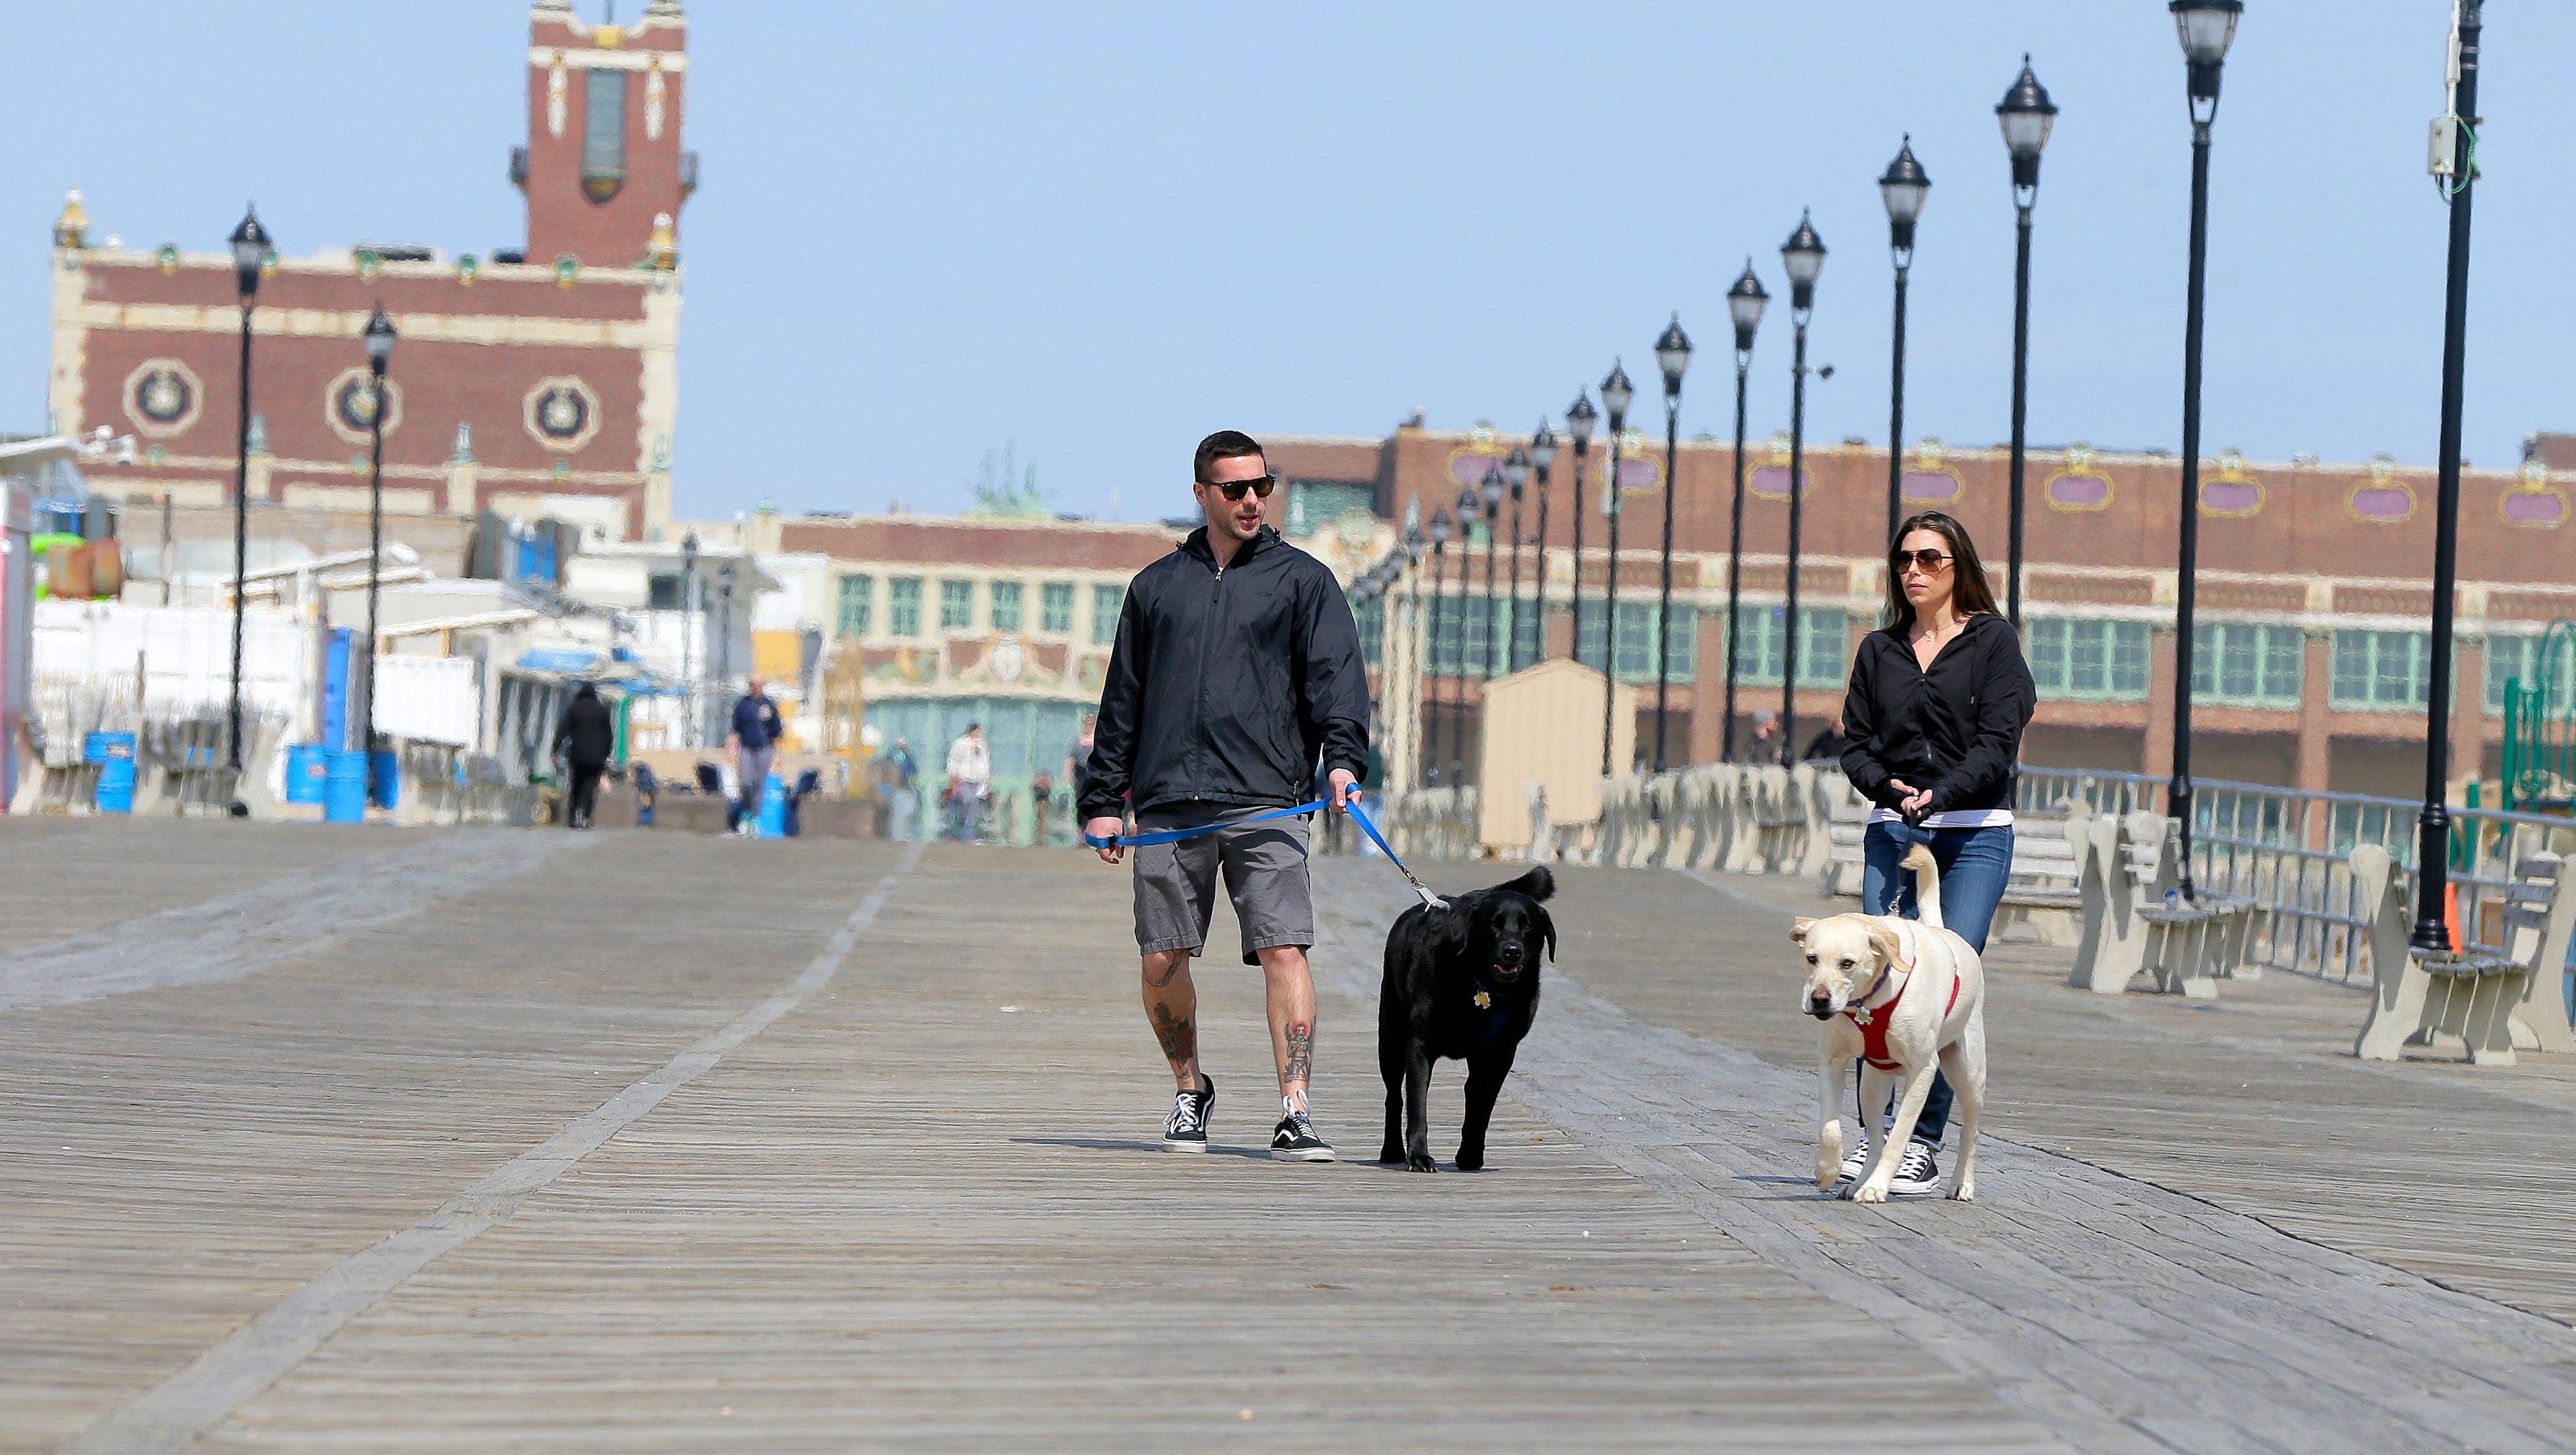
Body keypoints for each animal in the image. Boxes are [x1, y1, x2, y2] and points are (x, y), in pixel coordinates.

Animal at [1381, 860, 1555, 1169]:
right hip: (1390, 1038)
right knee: (1394, 1096)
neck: (1483, 986)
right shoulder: (1419, 1048)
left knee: (1472, 1092)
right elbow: (1417, 1105)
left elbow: (1483, 1106)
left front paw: (1472, 1153)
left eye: (1528, 925)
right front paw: (1419, 1155)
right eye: (1494, 924)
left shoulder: (1502, 1052)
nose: (1513, 951)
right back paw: (1391, 1150)